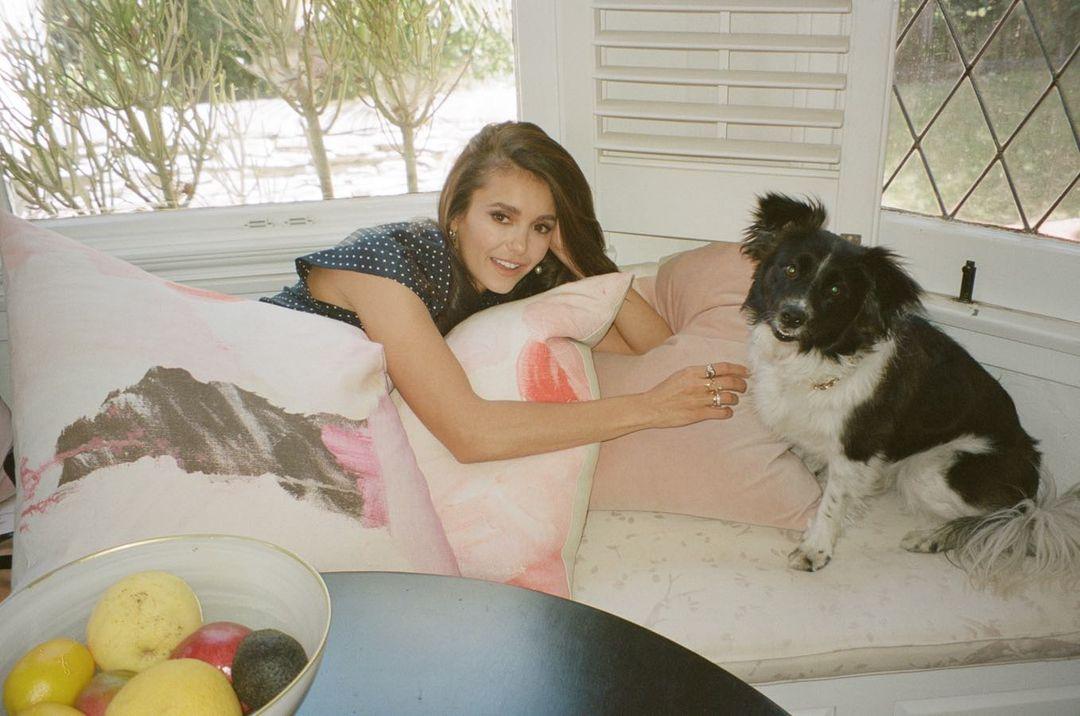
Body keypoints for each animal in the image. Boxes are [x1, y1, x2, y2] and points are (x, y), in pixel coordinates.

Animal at [743, 192, 1080, 587]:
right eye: (791, 270)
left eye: (836, 291)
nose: (792, 316)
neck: (821, 356)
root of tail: (1033, 481)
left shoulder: (858, 447)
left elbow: (833, 501)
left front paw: (815, 549)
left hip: (934, 471)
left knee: (1007, 522)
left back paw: (934, 537)